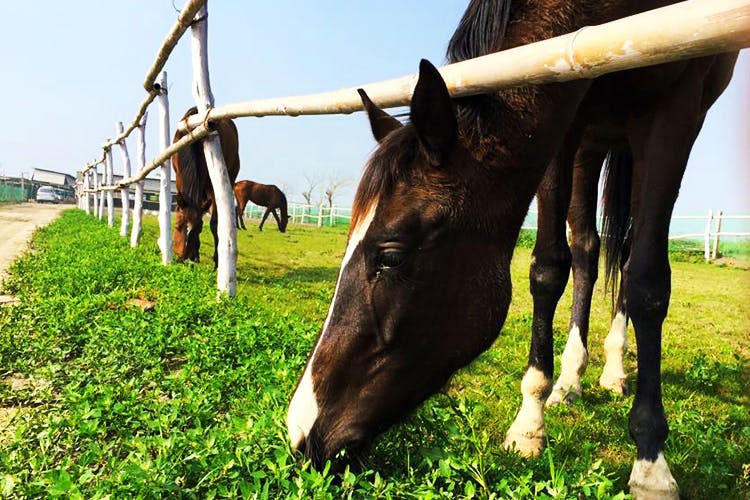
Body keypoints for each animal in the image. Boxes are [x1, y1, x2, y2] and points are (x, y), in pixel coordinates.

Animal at [171, 107, 239, 268]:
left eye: (197, 229)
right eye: (178, 226)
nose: (181, 257)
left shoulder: (212, 187)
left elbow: (214, 223)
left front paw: (216, 260)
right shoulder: (179, 178)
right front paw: (194, 255)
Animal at [288, 1, 740, 498]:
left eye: (390, 256)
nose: (301, 432)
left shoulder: (677, 111)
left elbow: (647, 283)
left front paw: (651, 465)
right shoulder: (565, 112)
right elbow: (549, 268)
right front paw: (530, 423)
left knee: (623, 253)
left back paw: (614, 371)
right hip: (592, 144)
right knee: (588, 251)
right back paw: (570, 379)